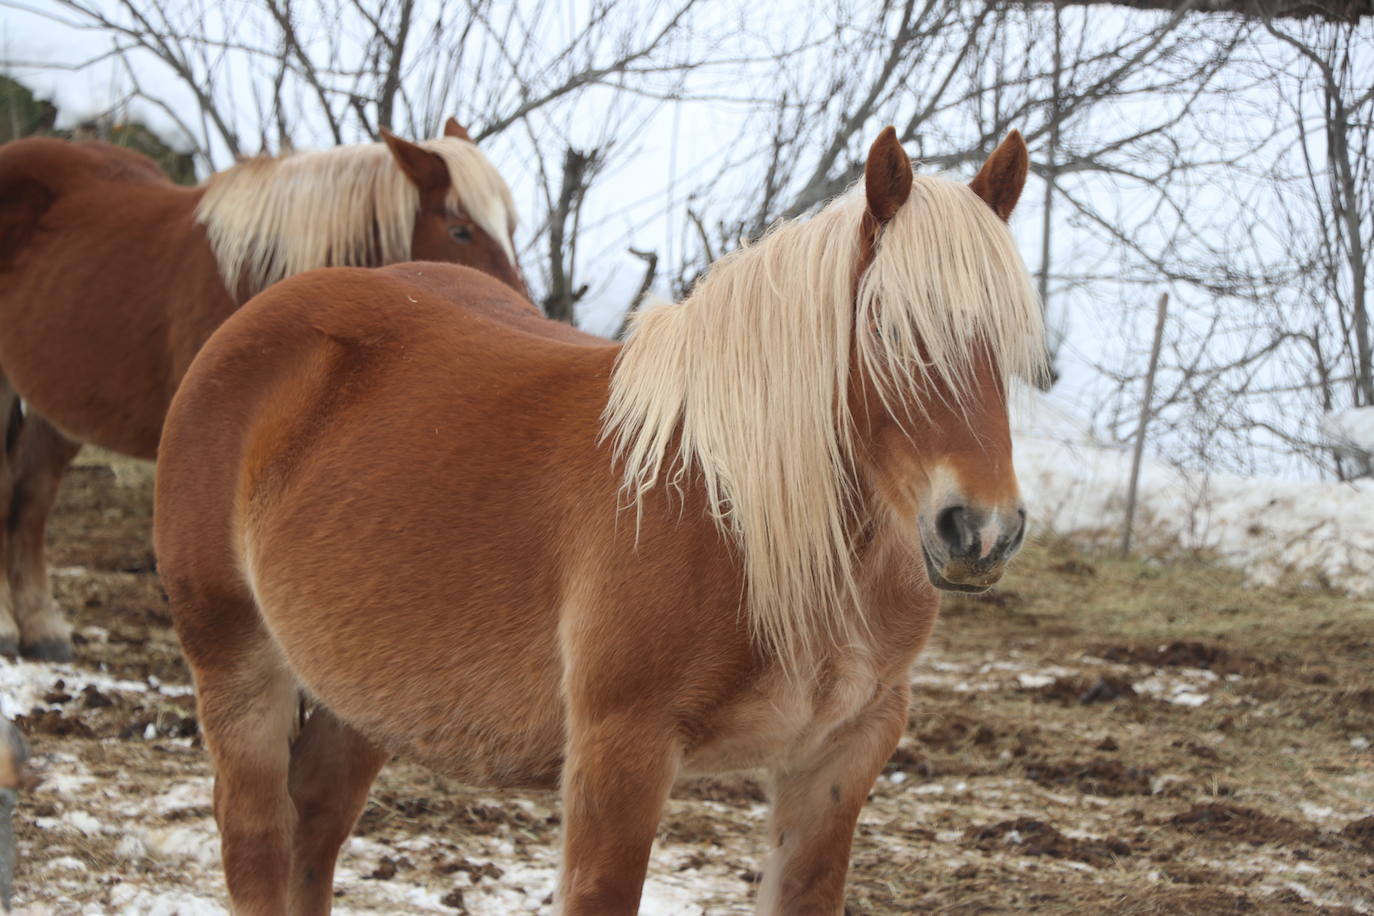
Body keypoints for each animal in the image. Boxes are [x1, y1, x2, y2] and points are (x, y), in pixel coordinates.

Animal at [155, 125, 1038, 911]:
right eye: (887, 326)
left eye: (1009, 341)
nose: (980, 531)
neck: (744, 521)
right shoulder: (622, 752)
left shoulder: (838, 761)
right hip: (236, 660)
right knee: (257, 839)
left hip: (361, 694)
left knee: (316, 823)